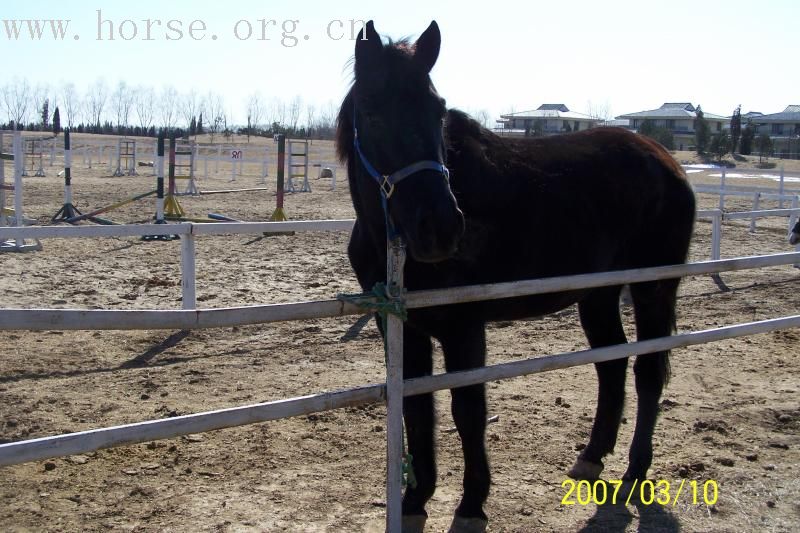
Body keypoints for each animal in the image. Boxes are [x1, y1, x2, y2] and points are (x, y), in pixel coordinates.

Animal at [334, 19, 696, 528]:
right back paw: (592, 457)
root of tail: (666, 161)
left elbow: (468, 409)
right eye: (371, 111)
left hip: (653, 290)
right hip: (598, 296)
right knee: (612, 364)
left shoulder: (464, 326)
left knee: (647, 371)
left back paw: (635, 472)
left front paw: (472, 502)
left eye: (438, 111)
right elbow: (417, 407)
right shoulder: (402, 326)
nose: (440, 228)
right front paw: (414, 498)